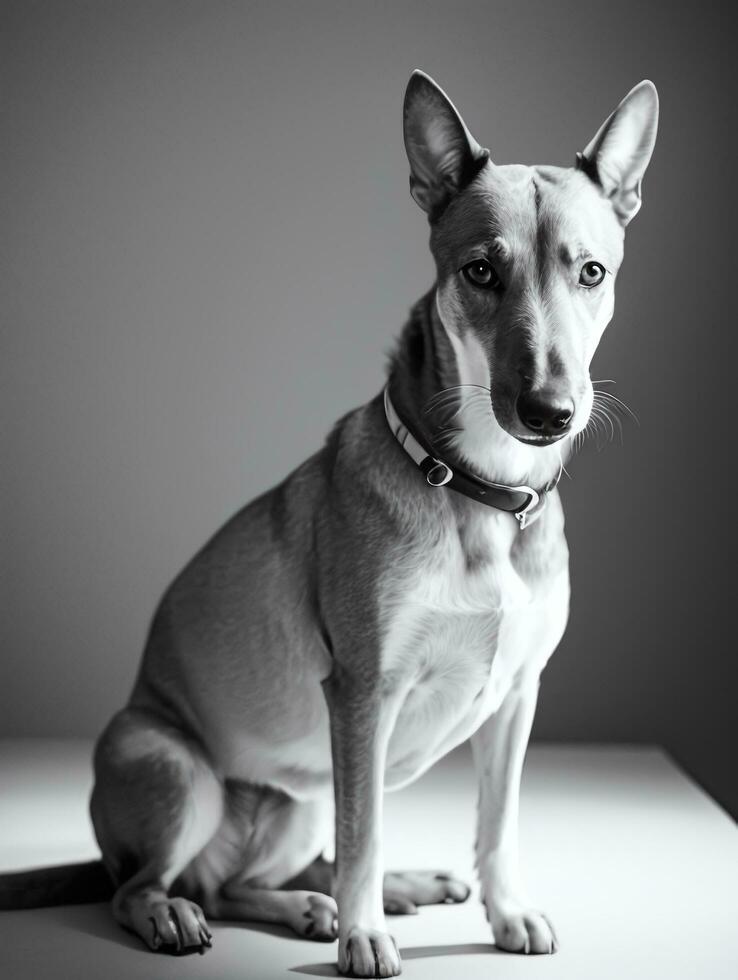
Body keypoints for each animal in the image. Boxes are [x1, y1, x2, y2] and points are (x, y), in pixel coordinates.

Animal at [0, 71, 656, 980]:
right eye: (480, 271)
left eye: (592, 272)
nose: (548, 411)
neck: (478, 488)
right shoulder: (363, 692)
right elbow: (365, 834)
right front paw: (364, 935)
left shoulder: (517, 698)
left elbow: (496, 824)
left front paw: (504, 911)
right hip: (173, 766)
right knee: (149, 886)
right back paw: (199, 913)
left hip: (302, 794)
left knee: (253, 876)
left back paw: (350, 897)